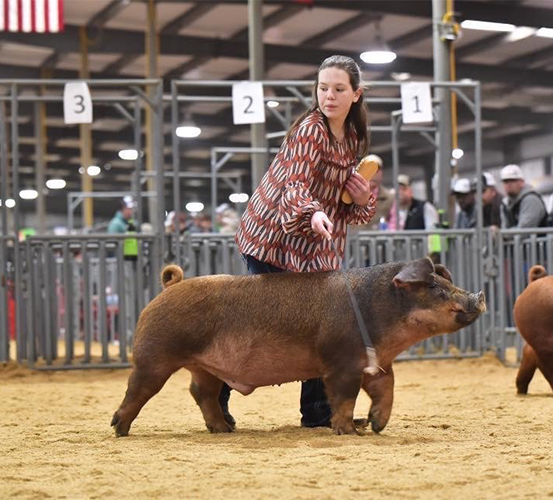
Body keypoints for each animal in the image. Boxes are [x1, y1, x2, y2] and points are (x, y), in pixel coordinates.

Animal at [111, 257, 486, 437]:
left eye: (445, 282)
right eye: (434, 288)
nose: (478, 296)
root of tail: (171, 286)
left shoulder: (376, 363)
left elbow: (386, 390)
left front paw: (376, 425)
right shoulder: (342, 364)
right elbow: (344, 398)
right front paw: (350, 431)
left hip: (204, 367)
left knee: (202, 393)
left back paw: (225, 430)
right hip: (154, 356)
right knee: (137, 390)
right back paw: (119, 430)